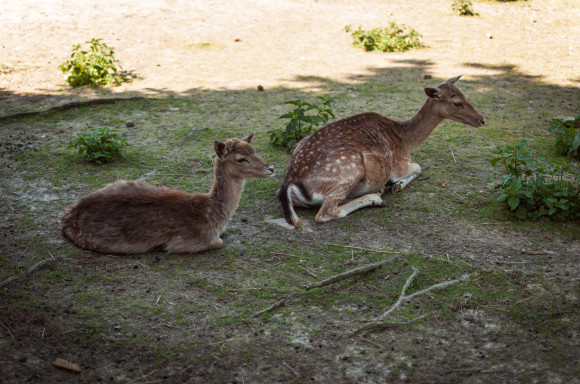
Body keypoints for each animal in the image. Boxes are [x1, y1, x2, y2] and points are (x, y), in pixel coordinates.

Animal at [61, 134, 274, 254]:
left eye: (254, 150)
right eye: (241, 159)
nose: (270, 168)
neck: (212, 217)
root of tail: (66, 217)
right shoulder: (187, 242)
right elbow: (219, 243)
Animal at [276, 76, 484, 230]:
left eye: (464, 95)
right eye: (457, 102)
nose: (481, 120)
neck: (405, 139)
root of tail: (289, 182)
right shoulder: (398, 163)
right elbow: (418, 166)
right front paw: (397, 185)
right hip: (350, 166)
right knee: (326, 212)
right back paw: (376, 196)